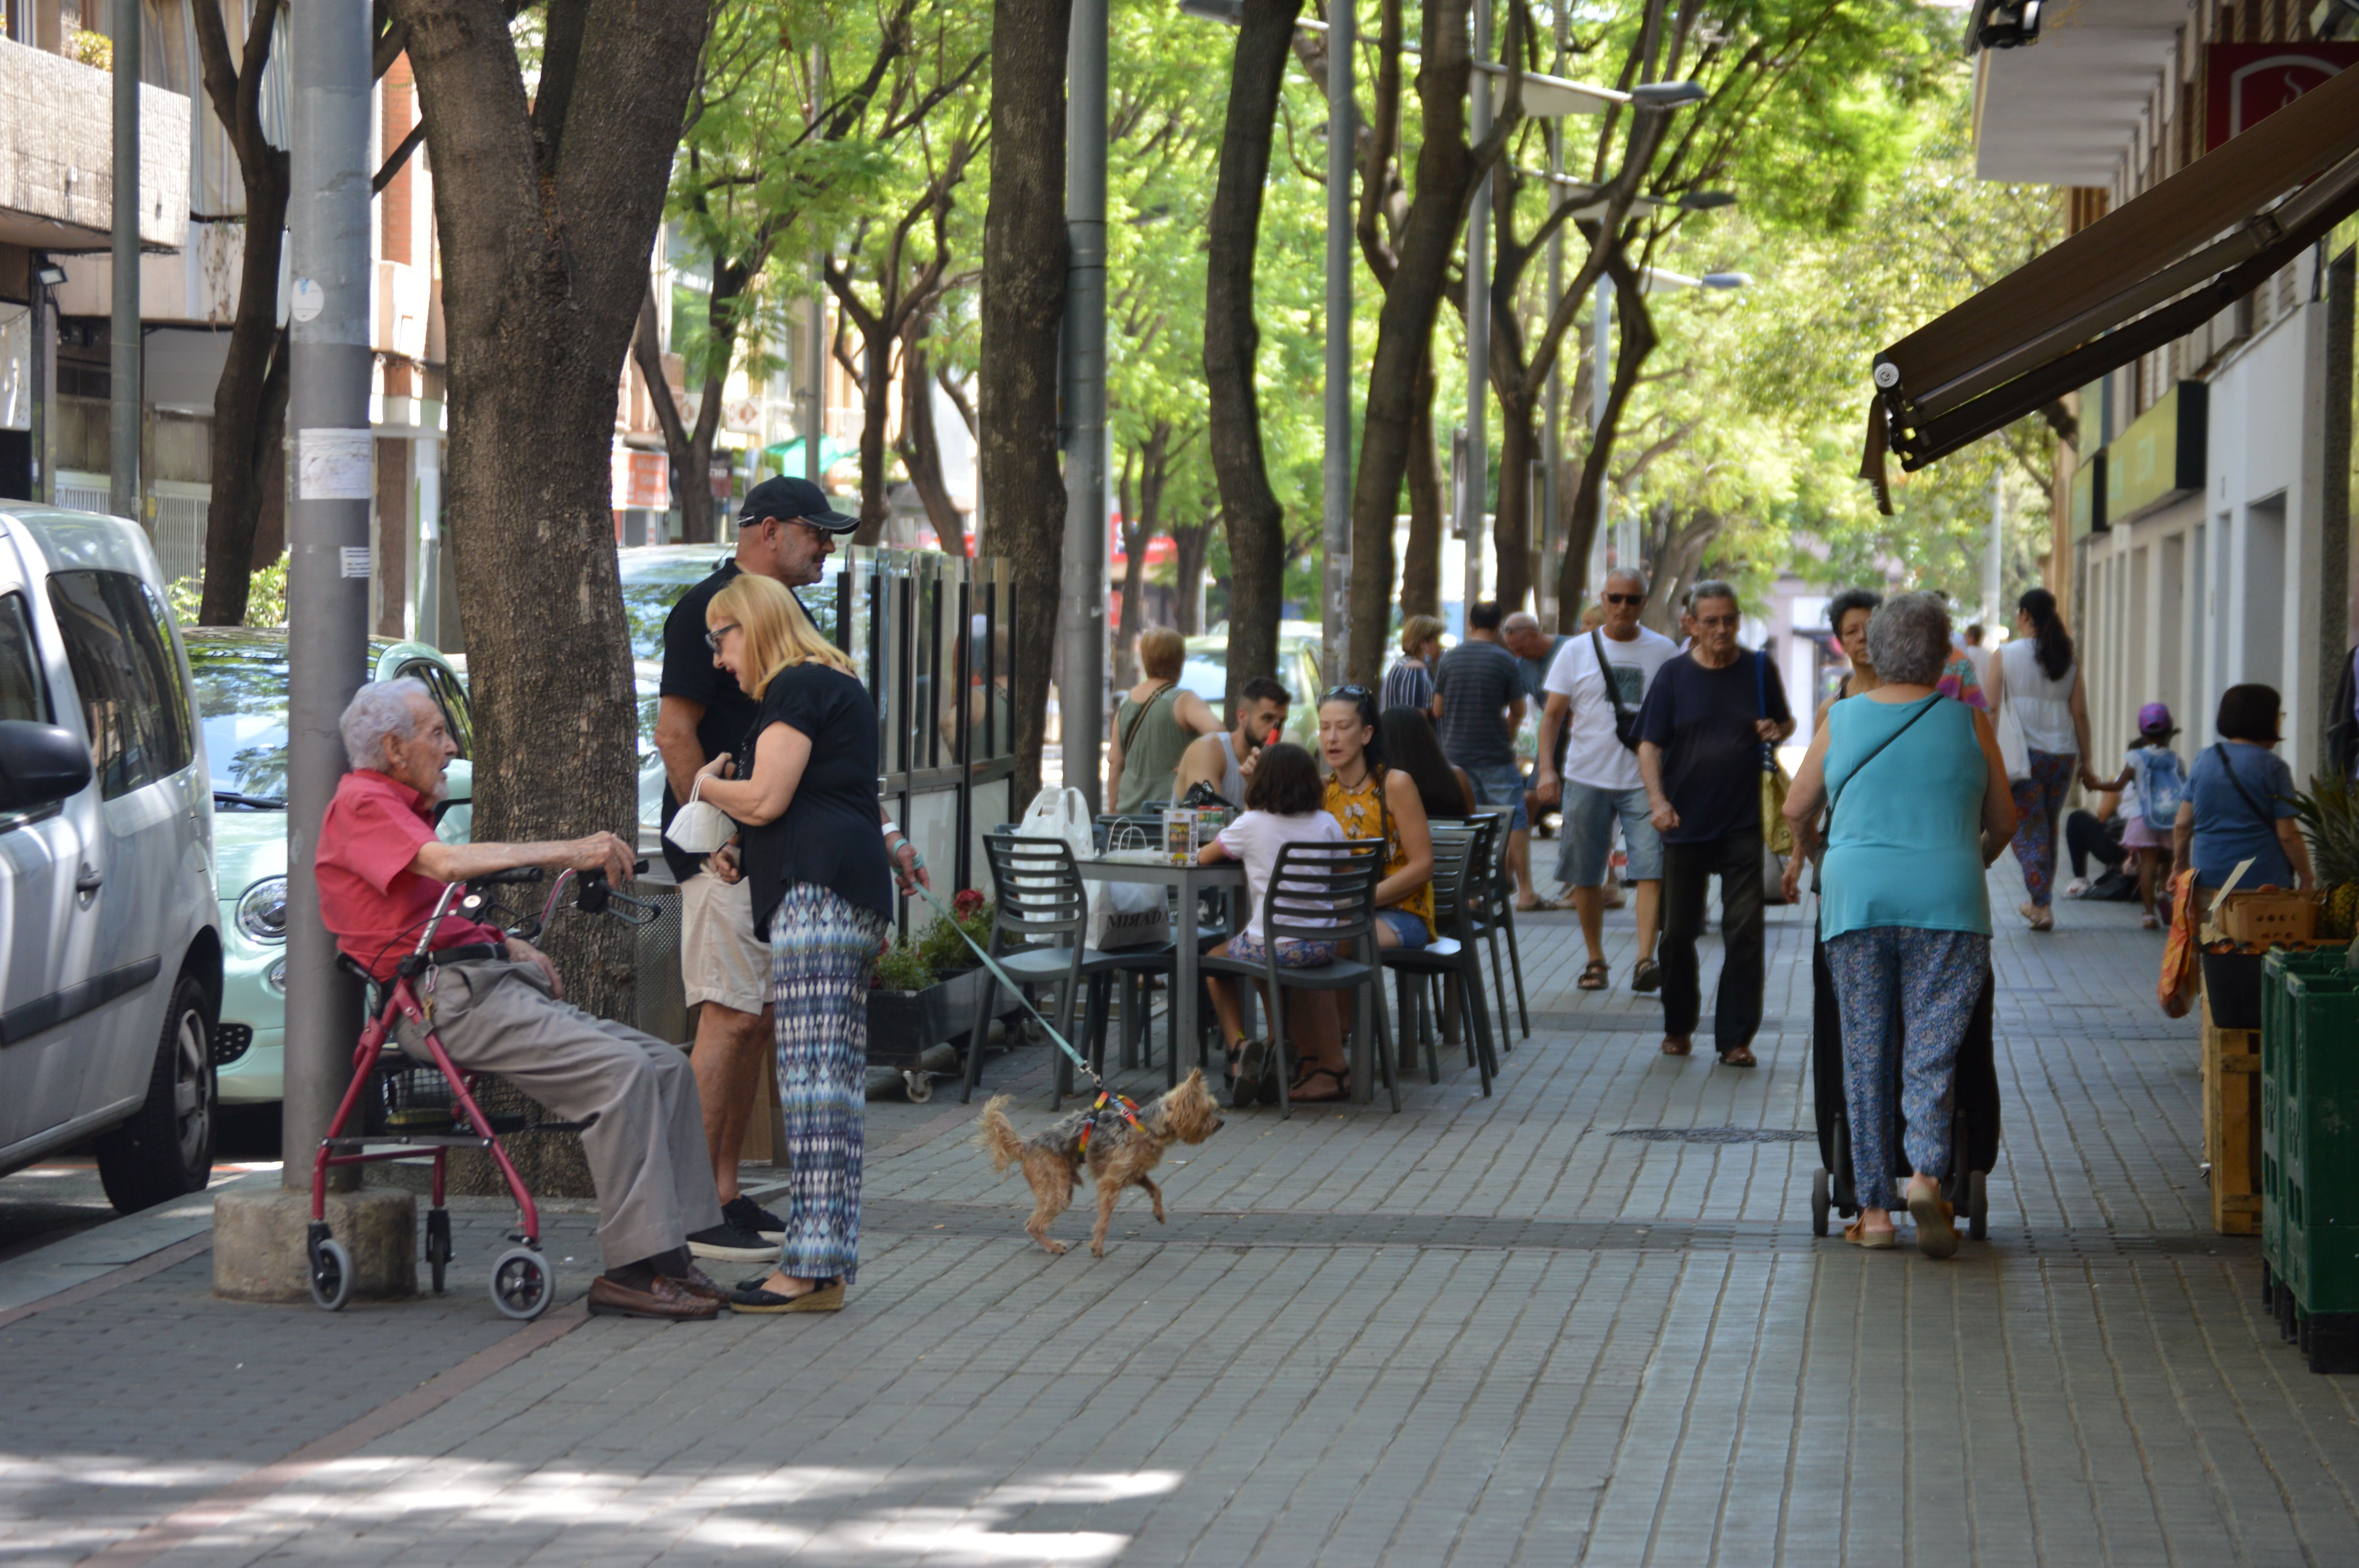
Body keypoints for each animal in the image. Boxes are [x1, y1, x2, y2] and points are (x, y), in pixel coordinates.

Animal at [981, 1056, 1236, 1254]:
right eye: (1206, 1112)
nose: (1222, 1123)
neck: (1147, 1128)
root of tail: (1029, 1144)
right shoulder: (1111, 1182)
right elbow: (1104, 1219)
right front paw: (1098, 1246)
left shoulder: (1135, 1173)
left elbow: (1156, 1189)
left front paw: (1159, 1213)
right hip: (1057, 1189)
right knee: (1033, 1224)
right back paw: (1053, 1246)